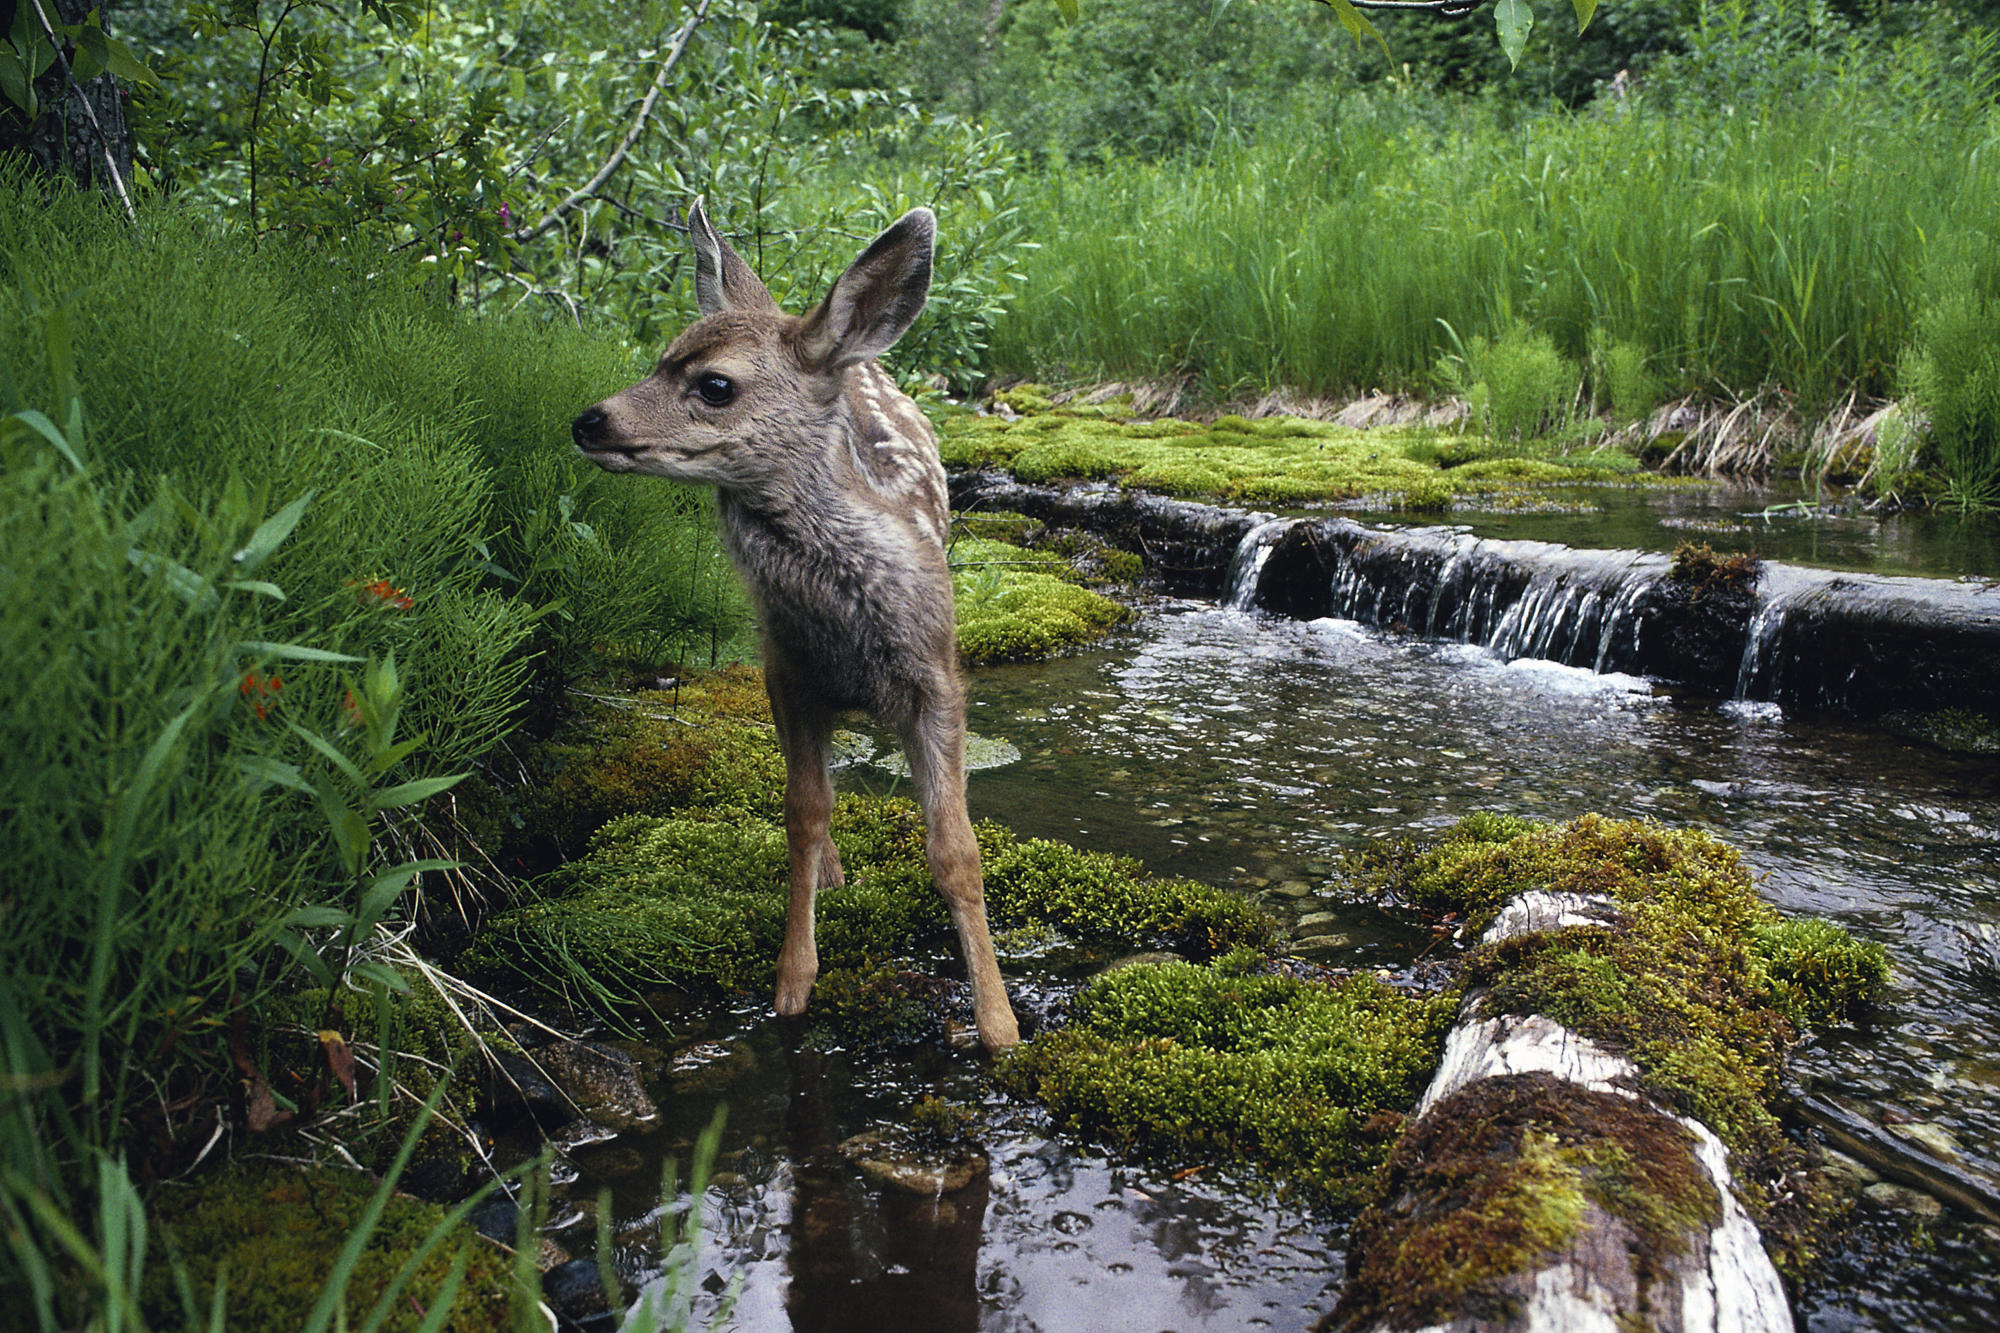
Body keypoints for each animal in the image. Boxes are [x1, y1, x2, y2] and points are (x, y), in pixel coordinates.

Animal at [572, 200, 1024, 1048]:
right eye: (659, 358)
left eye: (714, 385)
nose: (589, 419)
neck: (844, 624)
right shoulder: (786, 671)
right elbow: (803, 812)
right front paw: (792, 981)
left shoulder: (936, 675)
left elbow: (956, 849)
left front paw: (999, 1022)